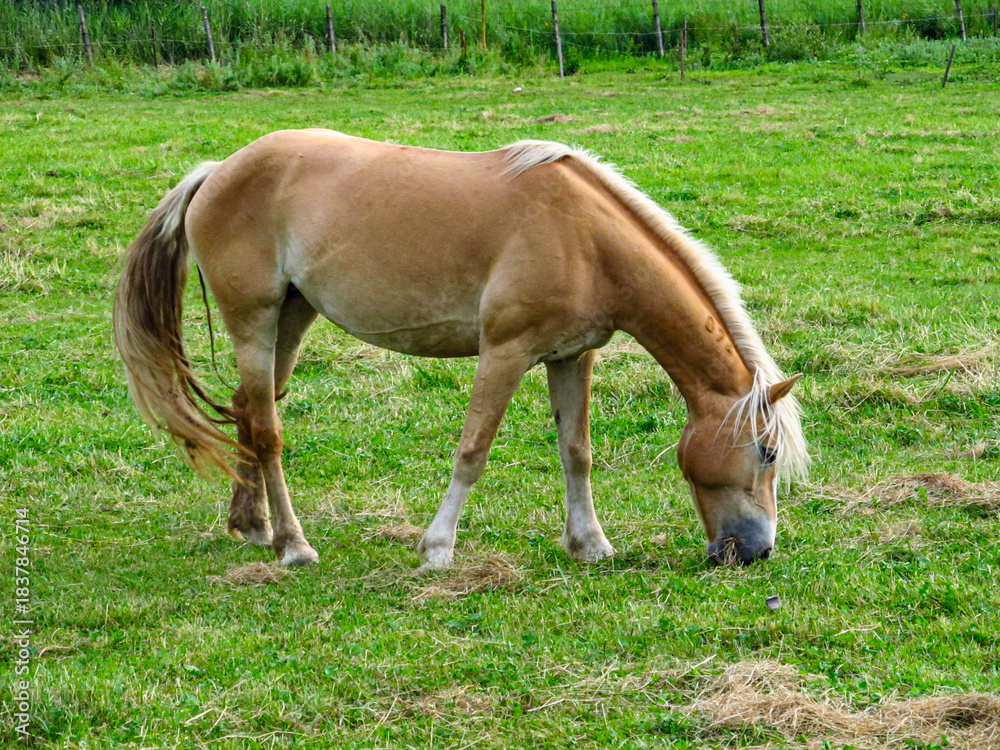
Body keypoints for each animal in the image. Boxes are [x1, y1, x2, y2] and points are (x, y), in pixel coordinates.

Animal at [114, 131, 808, 569]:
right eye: (767, 451)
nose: (757, 551)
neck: (585, 239)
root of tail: (217, 171)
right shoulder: (505, 353)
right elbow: (473, 451)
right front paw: (437, 549)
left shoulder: (571, 356)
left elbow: (576, 453)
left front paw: (590, 545)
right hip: (253, 320)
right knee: (267, 431)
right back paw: (293, 544)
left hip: (291, 316)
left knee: (247, 411)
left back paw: (252, 526)